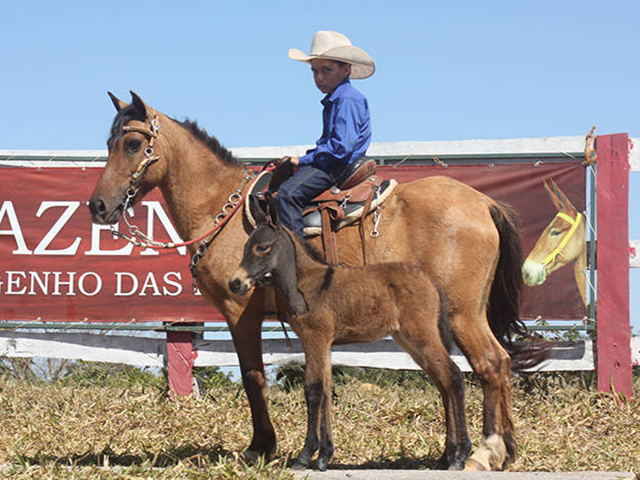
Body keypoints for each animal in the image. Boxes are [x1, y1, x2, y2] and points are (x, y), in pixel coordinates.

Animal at [89, 92, 544, 470]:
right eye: (109, 143)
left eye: (132, 144)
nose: (98, 206)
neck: (223, 211)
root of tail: (483, 202)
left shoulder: (241, 311)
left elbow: (254, 376)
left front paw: (261, 448)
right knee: (488, 366)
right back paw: (501, 451)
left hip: (461, 313)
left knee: (488, 364)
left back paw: (485, 452)